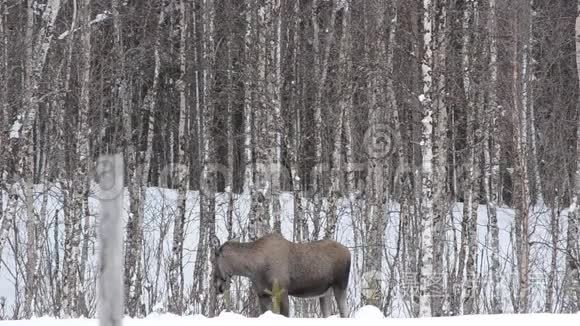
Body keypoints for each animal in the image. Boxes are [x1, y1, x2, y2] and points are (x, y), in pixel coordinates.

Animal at [211, 232, 352, 318]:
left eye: (213, 260)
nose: (217, 286)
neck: (253, 268)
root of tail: (349, 252)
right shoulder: (263, 294)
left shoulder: (282, 291)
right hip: (325, 292)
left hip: (340, 285)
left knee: (344, 311)